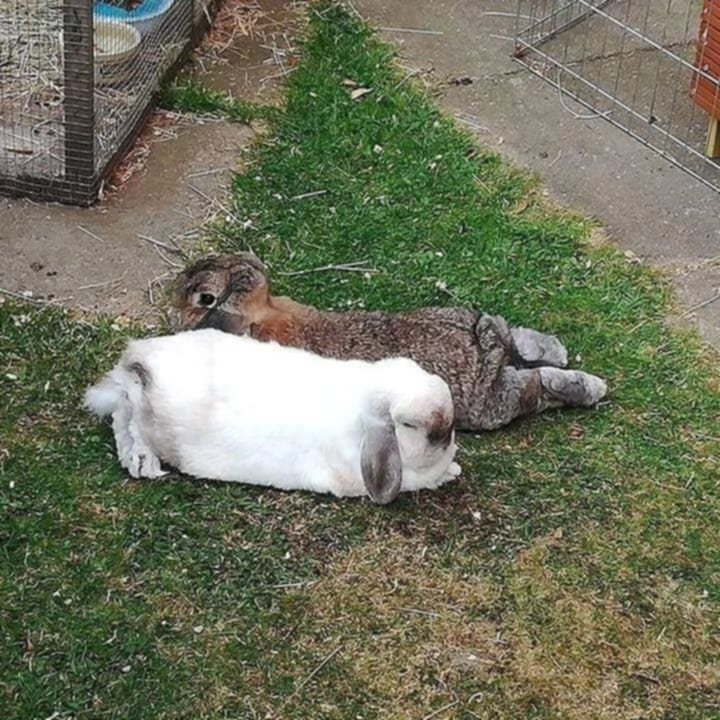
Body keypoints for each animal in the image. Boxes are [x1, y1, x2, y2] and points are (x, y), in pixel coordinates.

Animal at [84, 329, 461, 504]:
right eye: (409, 424)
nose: (447, 436)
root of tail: (143, 362)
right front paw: (451, 473)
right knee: (129, 424)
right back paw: (143, 462)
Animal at [171, 253, 607, 433]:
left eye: (204, 297)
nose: (251, 261)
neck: (265, 317)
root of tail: (483, 346)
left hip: (483, 393)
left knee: (530, 382)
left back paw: (585, 381)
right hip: (484, 357)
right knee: (521, 358)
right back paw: (566, 361)